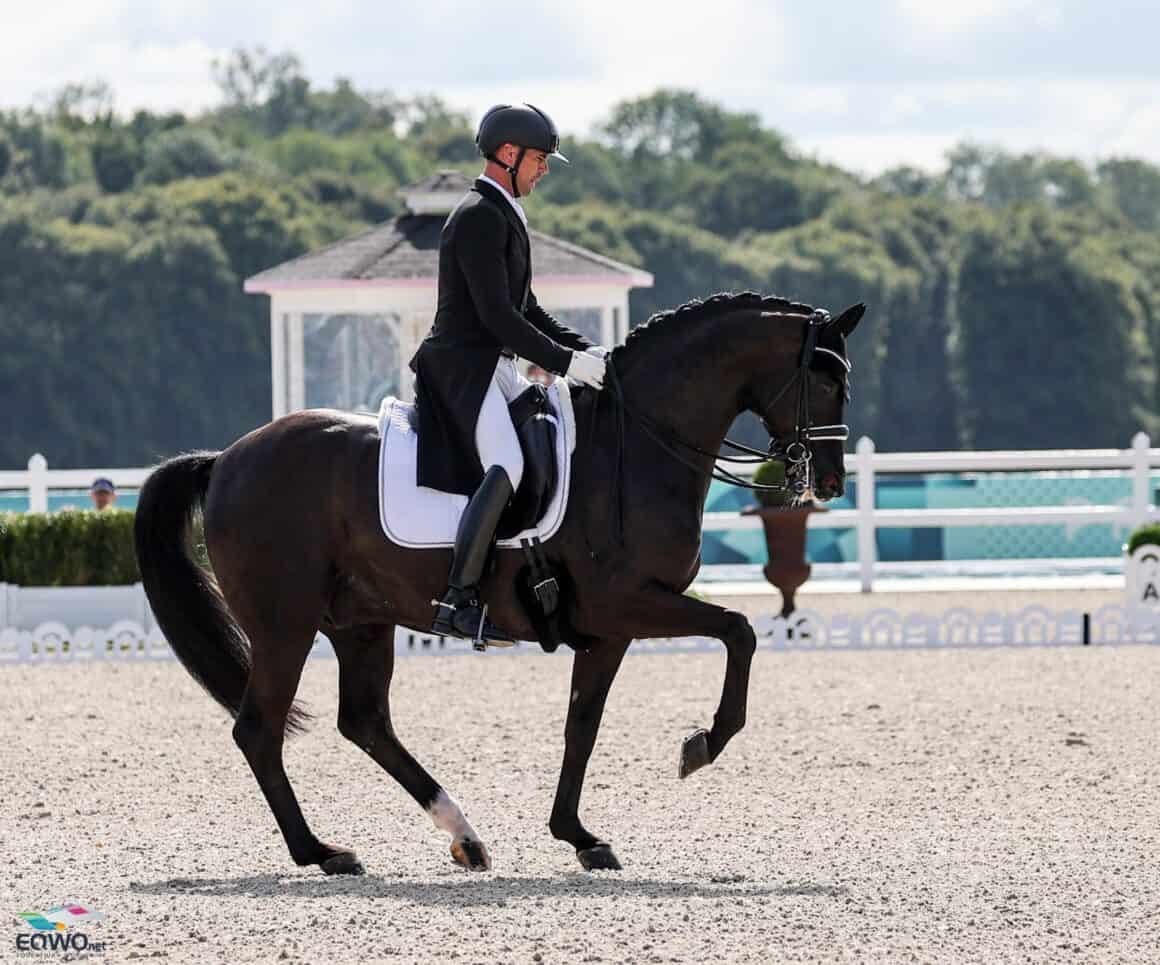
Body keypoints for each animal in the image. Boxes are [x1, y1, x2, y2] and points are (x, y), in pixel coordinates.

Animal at [133, 289, 863, 876]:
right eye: (824, 380)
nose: (828, 482)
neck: (636, 446)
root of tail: (226, 458)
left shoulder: (608, 628)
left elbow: (582, 724)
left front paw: (580, 836)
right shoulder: (630, 603)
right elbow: (738, 632)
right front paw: (701, 745)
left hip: (361, 621)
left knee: (365, 721)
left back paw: (463, 835)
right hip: (285, 623)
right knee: (260, 729)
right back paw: (323, 851)